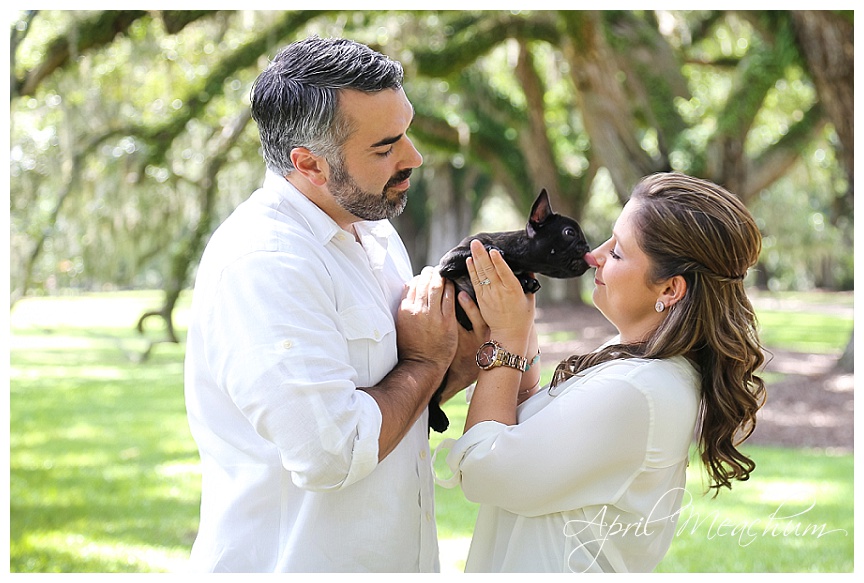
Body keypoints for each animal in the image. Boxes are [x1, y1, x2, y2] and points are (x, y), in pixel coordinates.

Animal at [428, 189, 592, 432]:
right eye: (569, 232)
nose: (588, 246)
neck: (517, 259)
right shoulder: (448, 262)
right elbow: (470, 251)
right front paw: (493, 250)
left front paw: (527, 282)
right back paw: (437, 418)